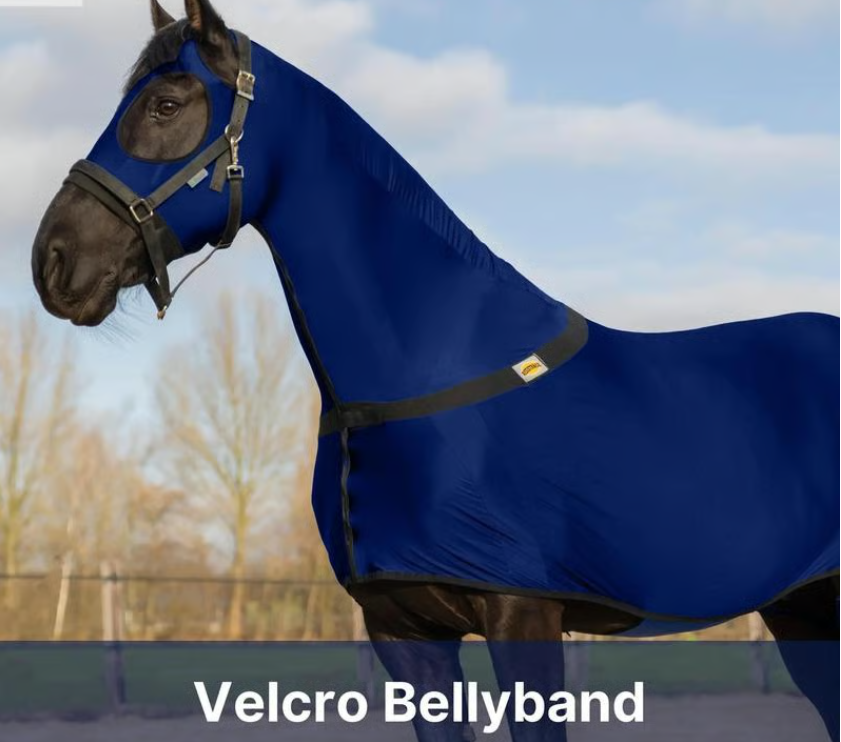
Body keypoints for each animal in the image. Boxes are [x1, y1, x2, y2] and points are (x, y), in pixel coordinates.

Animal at [31, 2, 838, 740]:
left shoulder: (523, 617)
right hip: (803, 612)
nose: (53, 260)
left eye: (166, 104)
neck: (424, 376)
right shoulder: (405, 634)